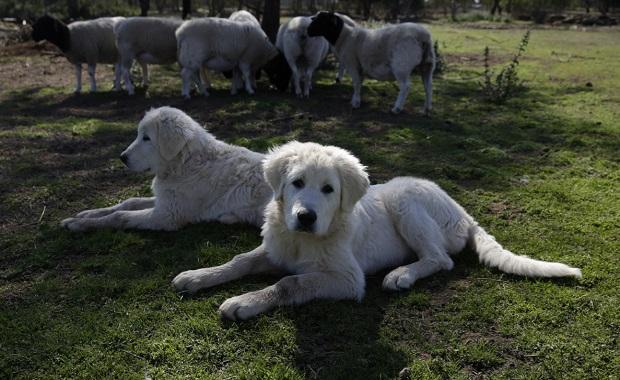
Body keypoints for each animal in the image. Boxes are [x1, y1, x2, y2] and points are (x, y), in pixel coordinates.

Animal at [61, 107, 272, 232]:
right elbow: (129, 202)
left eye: (146, 138)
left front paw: (79, 224)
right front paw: (87, 214)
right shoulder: (165, 199)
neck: (185, 163)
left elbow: (120, 216)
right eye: (139, 135)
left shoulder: (166, 216)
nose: (122, 157)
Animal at [173, 141, 580, 320]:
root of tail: (462, 210)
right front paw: (198, 276)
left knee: (440, 259)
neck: (302, 240)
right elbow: (240, 259)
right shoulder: (275, 248)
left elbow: (289, 282)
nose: (305, 217)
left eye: (329, 190)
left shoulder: (347, 279)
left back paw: (402, 274)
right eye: (297, 183)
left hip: (405, 200)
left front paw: (245, 302)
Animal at [306, 11, 434, 113]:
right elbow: (359, 83)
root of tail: (423, 36)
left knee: (405, 86)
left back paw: (397, 108)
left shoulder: (352, 64)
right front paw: (355, 99)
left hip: (402, 65)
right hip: (427, 64)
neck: (344, 37)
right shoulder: (360, 67)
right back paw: (426, 109)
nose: (308, 31)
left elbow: (356, 84)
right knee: (428, 87)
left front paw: (355, 103)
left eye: (321, 20)